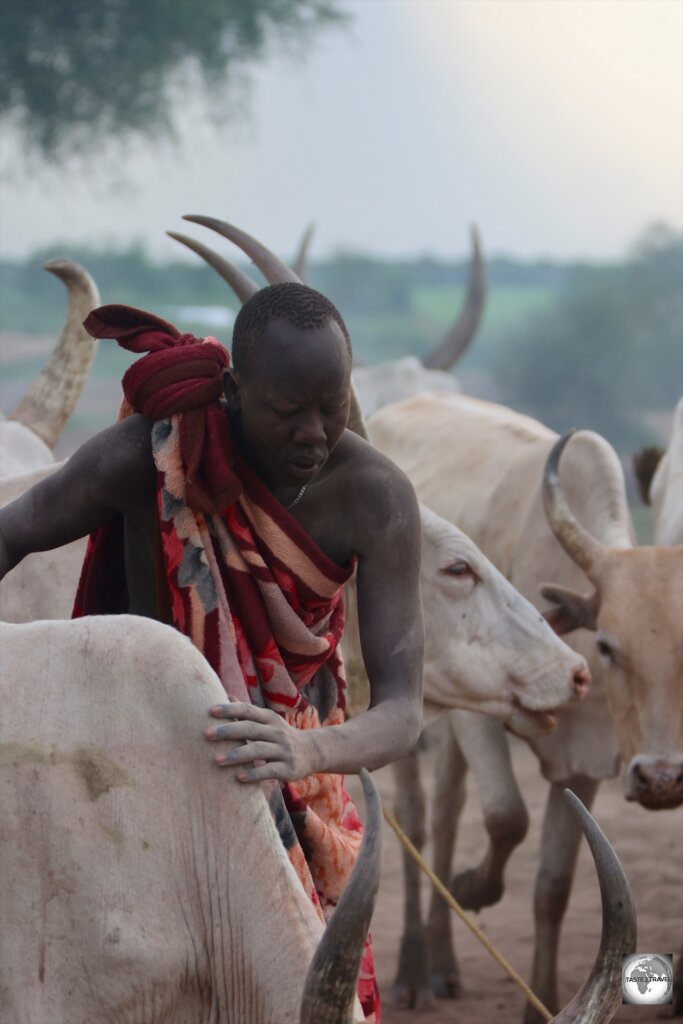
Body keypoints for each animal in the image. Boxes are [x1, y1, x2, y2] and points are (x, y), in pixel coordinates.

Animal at [368, 389, 683, 1015]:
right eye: (609, 645)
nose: (662, 780)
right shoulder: (476, 715)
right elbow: (507, 816)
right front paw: (472, 887)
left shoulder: (588, 756)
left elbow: (553, 886)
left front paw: (542, 996)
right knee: (417, 818)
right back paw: (413, 969)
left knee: (446, 814)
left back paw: (442, 963)